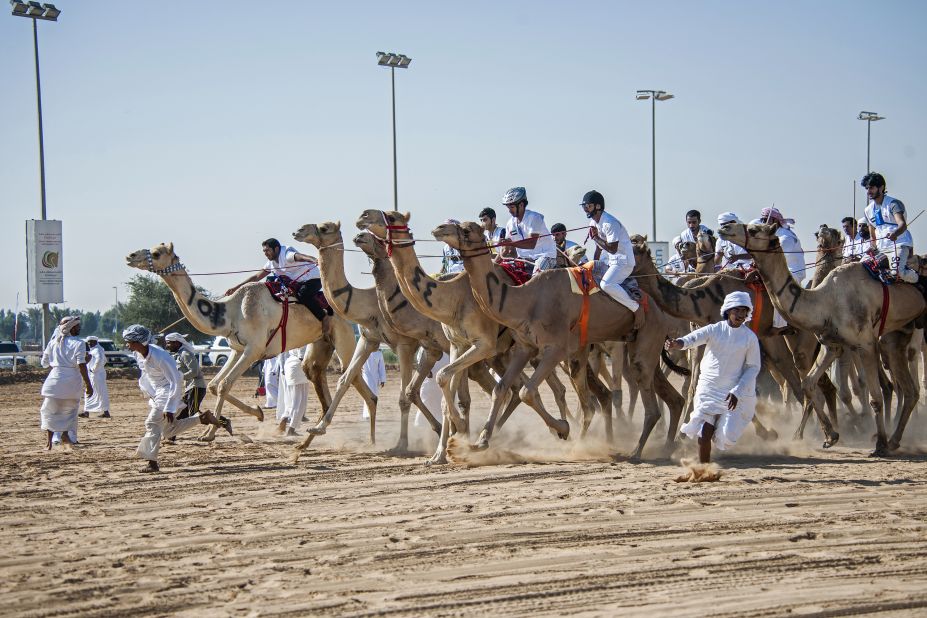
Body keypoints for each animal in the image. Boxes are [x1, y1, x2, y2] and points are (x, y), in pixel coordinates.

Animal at [125, 243, 376, 440]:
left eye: (157, 253)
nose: (130, 256)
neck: (231, 312)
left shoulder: (254, 350)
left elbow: (224, 385)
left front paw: (217, 430)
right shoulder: (237, 349)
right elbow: (215, 385)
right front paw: (220, 425)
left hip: (343, 334)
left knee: (350, 373)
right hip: (321, 340)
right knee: (314, 369)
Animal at [292, 219, 448, 454]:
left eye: (325, 228)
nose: (299, 231)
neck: (370, 304)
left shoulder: (404, 344)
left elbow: (404, 395)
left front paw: (402, 444)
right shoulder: (369, 339)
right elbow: (345, 379)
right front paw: (318, 429)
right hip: (435, 346)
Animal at [356, 211, 580, 462]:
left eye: (392, 217)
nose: (361, 221)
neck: (452, 299)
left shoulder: (481, 345)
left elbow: (453, 390)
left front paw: (458, 434)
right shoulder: (453, 346)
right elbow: (444, 391)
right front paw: (441, 452)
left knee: (552, 387)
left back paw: (569, 429)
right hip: (509, 354)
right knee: (522, 389)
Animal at [432, 218, 684, 458]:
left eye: (467, 230)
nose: (439, 228)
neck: (526, 299)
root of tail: (659, 310)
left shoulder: (555, 348)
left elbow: (526, 392)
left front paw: (562, 428)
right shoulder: (525, 347)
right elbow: (501, 389)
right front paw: (480, 442)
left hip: (645, 338)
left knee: (645, 404)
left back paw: (636, 451)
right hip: (634, 346)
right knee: (655, 397)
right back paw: (658, 447)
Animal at [720, 221, 924, 452]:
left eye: (754, 230)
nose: (725, 226)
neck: (825, 302)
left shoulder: (865, 344)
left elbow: (875, 397)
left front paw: (879, 444)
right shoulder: (831, 344)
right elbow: (808, 384)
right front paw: (830, 436)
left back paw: (887, 438)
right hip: (894, 338)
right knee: (909, 390)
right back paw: (895, 439)